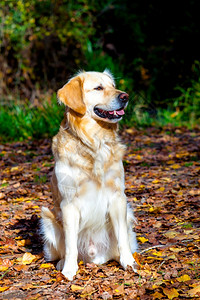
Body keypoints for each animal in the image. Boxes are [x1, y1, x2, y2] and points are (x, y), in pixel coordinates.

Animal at [40, 69, 138, 278]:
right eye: (98, 88)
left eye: (113, 86)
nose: (125, 97)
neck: (95, 141)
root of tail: (95, 258)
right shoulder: (69, 203)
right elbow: (70, 245)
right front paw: (69, 270)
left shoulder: (118, 197)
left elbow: (122, 238)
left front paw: (129, 262)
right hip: (47, 217)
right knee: (63, 250)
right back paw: (62, 263)